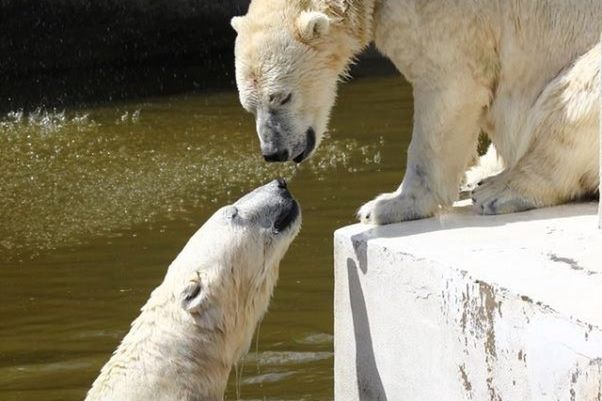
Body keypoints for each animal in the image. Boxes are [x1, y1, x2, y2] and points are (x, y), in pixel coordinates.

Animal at [229, 0, 596, 225]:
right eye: (249, 105)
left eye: (282, 97)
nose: (273, 151)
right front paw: (482, 166)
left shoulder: (452, 18)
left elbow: (451, 85)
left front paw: (388, 205)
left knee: (572, 99)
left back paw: (499, 191)